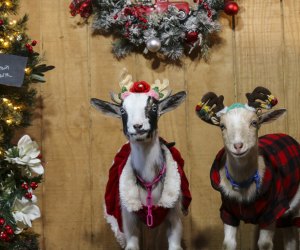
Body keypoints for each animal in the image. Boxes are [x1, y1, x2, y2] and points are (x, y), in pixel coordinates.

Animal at [90, 71, 191, 250]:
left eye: (154, 107)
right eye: (122, 111)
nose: (137, 126)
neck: (149, 181)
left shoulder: (174, 214)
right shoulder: (128, 217)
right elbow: (132, 244)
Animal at [196, 86, 300, 250]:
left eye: (254, 122)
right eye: (222, 126)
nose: (238, 146)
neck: (243, 186)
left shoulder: (272, 211)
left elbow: (264, 244)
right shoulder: (228, 212)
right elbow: (228, 243)